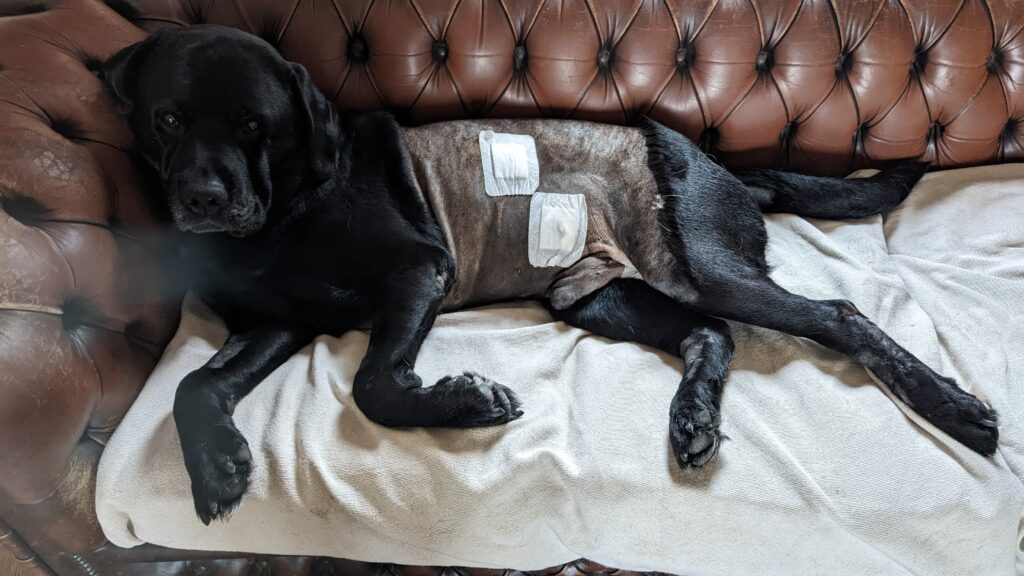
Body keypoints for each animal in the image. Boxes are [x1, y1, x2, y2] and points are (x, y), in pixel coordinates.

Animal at [103, 25, 999, 520]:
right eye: (167, 120)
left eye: (256, 125)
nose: (202, 198)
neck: (286, 212)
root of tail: (724, 168)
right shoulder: (275, 321)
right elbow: (196, 385)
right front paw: (217, 463)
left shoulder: (419, 271)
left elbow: (375, 384)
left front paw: (460, 402)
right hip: (596, 295)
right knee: (711, 334)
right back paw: (693, 419)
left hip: (700, 264)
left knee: (837, 317)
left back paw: (955, 408)